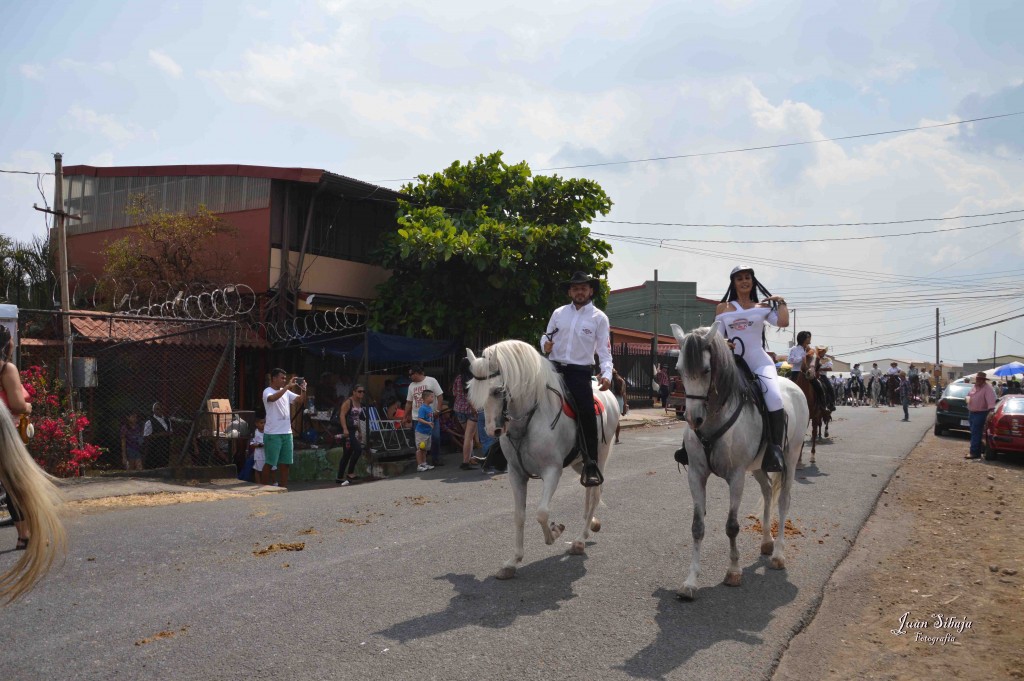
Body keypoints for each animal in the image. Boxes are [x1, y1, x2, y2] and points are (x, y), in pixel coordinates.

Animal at [468, 339, 618, 577]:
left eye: (497, 390)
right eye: (474, 392)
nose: (493, 430)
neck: (530, 419)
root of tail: (608, 395)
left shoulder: (552, 471)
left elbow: (541, 513)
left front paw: (555, 533)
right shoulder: (516, 473)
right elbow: (519, 515)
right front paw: (512, 562)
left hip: (599, 457)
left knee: (594, 494)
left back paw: (580, 540)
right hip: (580, 463)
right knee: (589, 492)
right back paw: (589, 525)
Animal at [671, 323, 806, 602]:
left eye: (706, 370)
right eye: (678, 369)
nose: (693, 419)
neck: (713, 418)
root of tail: (792, 384)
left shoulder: (736, 476)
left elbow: (732, 526)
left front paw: (733, 572)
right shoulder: (696, 475)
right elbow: (697, 526)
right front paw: (690, 582)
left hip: (789, 458)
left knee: (783, 501)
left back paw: (778, 554)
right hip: (758, 467)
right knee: (768, 491)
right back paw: (766, 542)